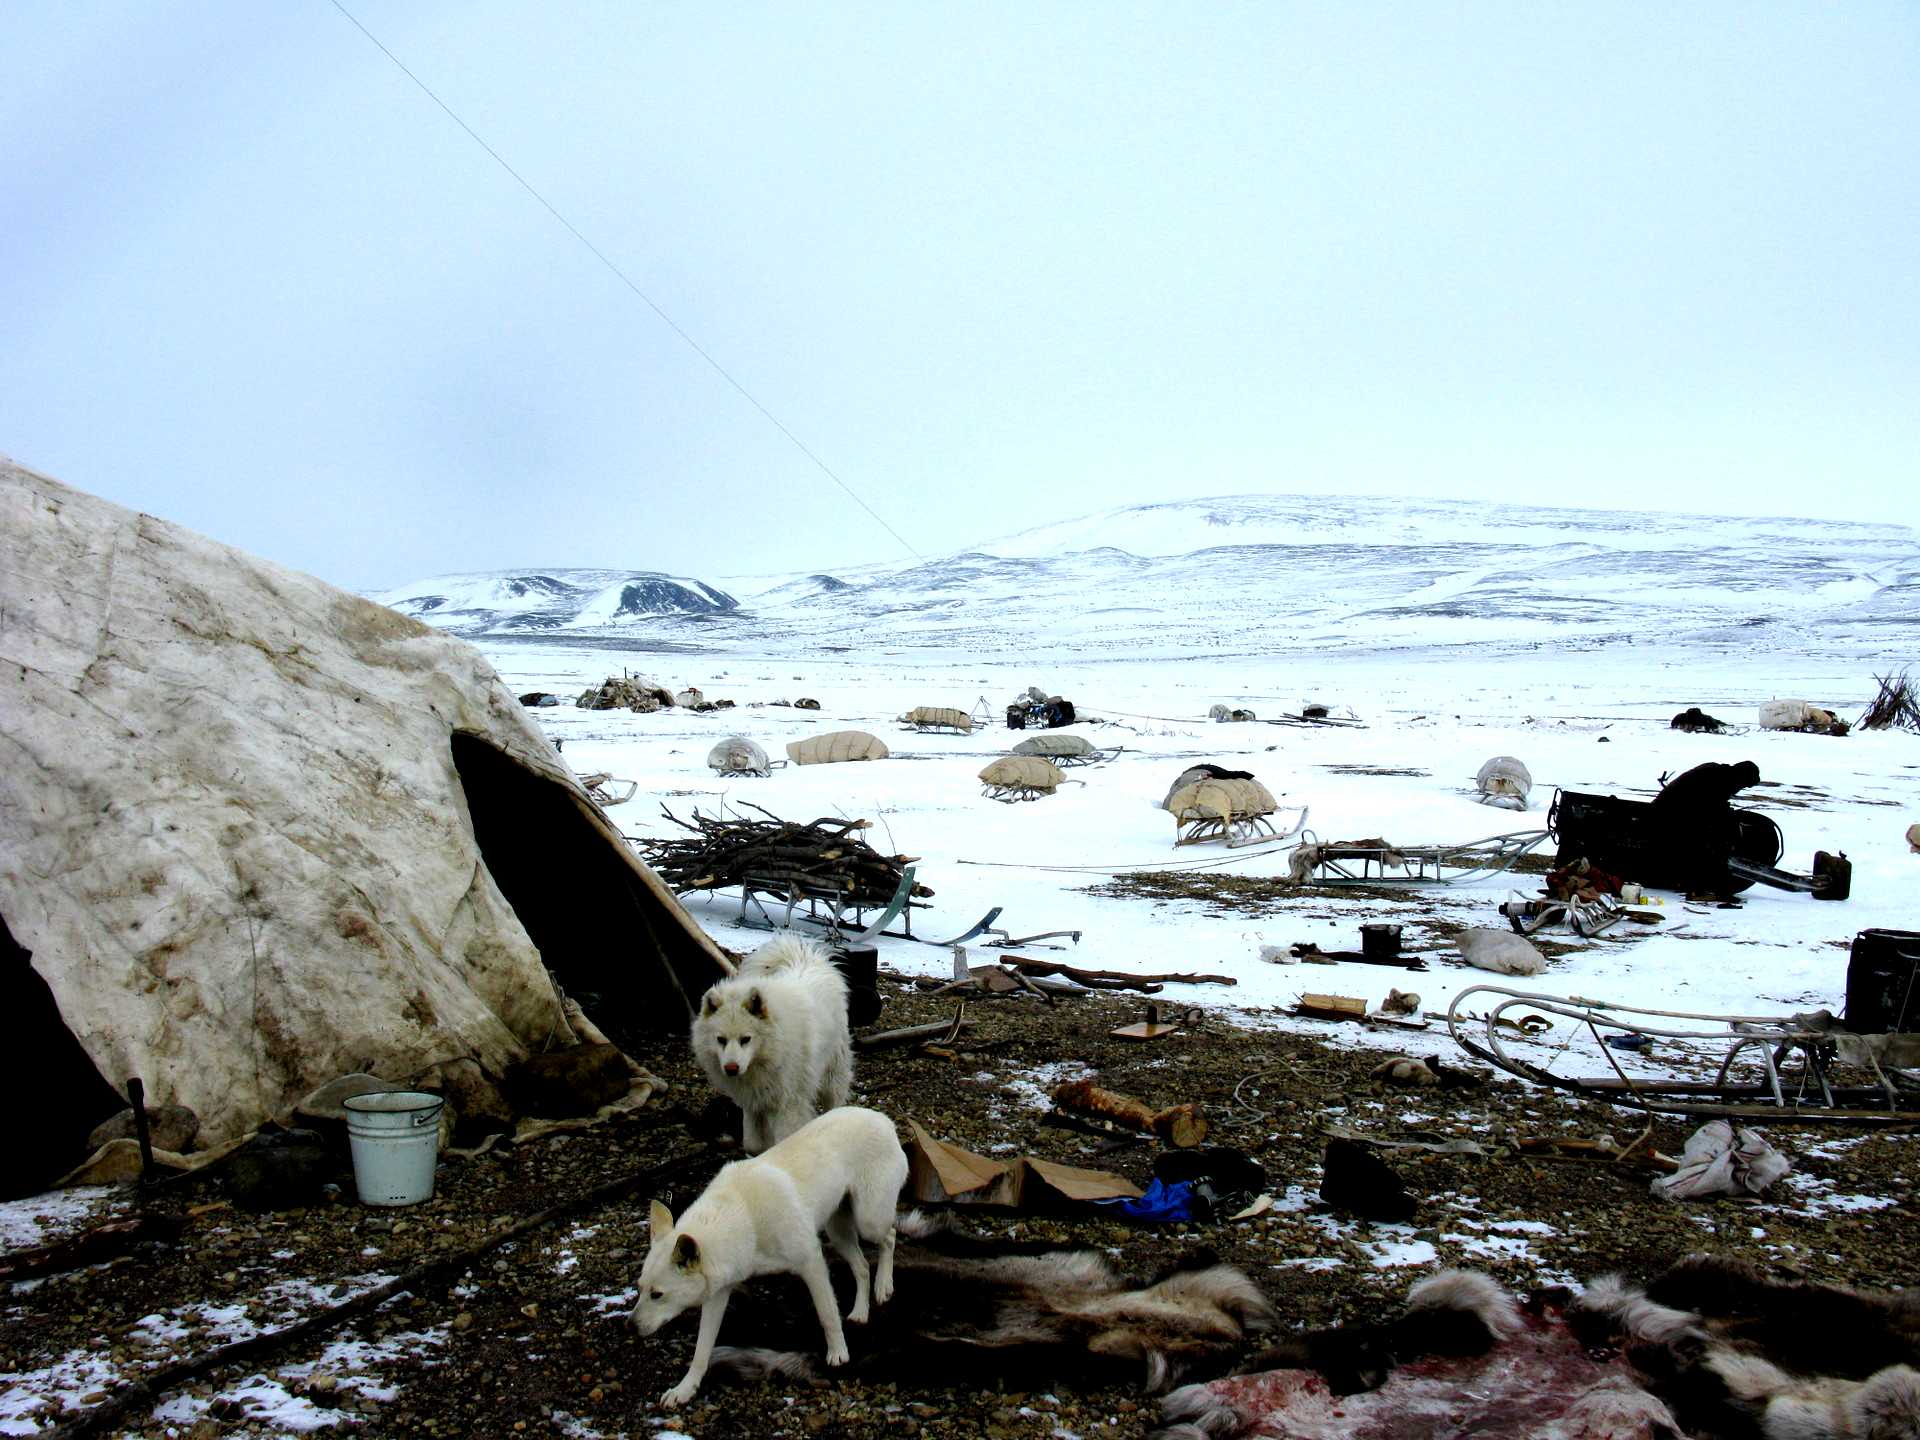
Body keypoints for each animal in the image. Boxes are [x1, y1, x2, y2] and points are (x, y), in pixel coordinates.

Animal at [625, 1105, 902, 1413]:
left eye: (657, 1294)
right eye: (640, 1289)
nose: (630, 1327)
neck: (742, 1217)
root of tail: (882, 1118)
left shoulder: (811, 1262)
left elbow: (827, 1315)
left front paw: (838, 1353)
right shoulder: (717, 1294)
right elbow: (701, 1351)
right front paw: (684, 1389)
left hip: (869, 1221)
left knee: (890, 1237)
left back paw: (884, 1286)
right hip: (839, 1231)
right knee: (862, 1266)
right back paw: (860, 1312)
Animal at [687, 929, 844, 1159]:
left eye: (746, 1039)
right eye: (720, 1040)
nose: (731, 1069)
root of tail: (804, 956)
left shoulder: (789, 1103)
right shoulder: (754, 1103)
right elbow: (753, 1144)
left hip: (833, 1072)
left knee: (835, 1099)